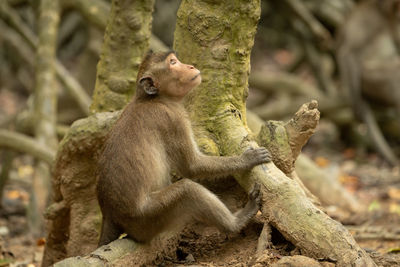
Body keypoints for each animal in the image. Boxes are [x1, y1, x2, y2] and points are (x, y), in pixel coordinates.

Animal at [96, 50, 272, 247]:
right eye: (173, 63)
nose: (190, 66)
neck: (154, 99)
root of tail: (109, 213)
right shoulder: (173, 119)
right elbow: (191, 166)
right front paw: (247, 159)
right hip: (148, 218)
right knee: (188, 190)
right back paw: (237, 222)